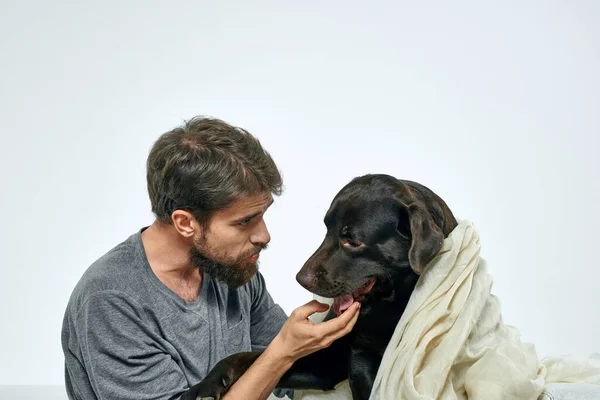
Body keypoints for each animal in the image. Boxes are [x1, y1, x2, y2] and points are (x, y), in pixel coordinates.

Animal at [180, 174, 458, 400]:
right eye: (326, 229)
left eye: (352, 241)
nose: (301, 279)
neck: (390, 302)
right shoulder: (339, 360)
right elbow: (249, 357)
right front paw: (206, 385)